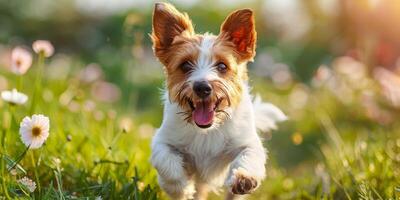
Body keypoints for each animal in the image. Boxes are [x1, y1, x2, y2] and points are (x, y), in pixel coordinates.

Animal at [149, 1, 284, 200]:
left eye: (222, 66)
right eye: (185, 65)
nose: (202, 87)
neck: (207, 131)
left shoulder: (248, 142)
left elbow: (250, 155)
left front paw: (245, 178)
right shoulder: (163, 140)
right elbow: (166, 163)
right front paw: (180, 186)